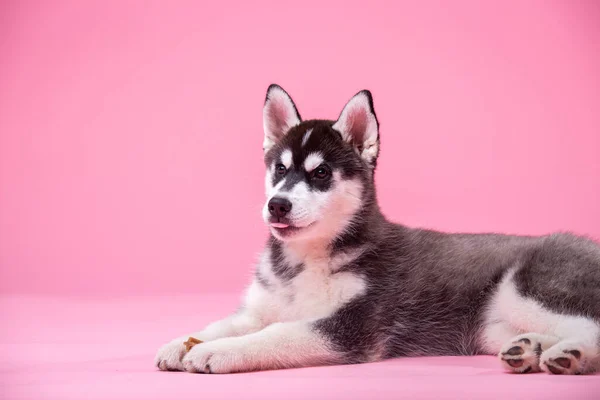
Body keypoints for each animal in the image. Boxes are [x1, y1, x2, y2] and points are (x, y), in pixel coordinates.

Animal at [156, 83, 600, 376]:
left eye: (321, 173)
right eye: (279, 169)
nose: (277, 204)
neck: (305, 262)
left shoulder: (350, 329)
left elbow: (276, 334)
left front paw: (218, 351)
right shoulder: (260, 307)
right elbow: (227, 323)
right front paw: (184, 341)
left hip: (527, 287)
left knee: (589, 325)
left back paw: (572, 354)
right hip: (494, 325)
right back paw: (530, 349)